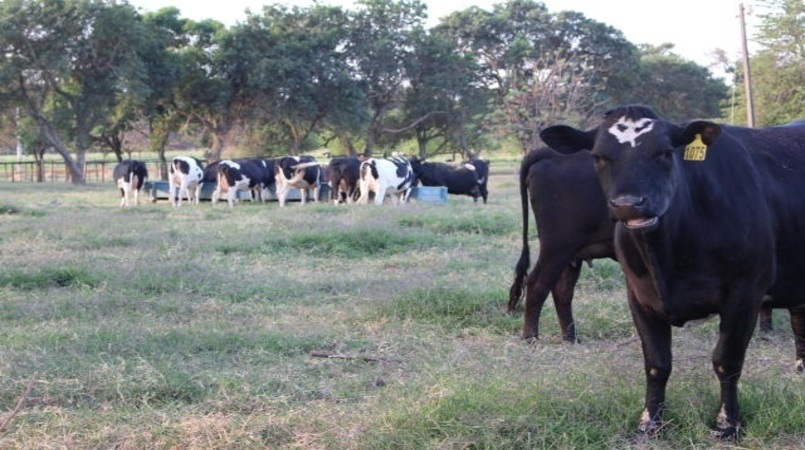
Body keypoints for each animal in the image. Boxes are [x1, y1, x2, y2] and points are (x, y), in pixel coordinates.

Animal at [508, 148, 616, 342]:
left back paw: (571, 338)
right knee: (537, 284)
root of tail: (551, 152)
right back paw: (531, 338)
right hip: (557, 248)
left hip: (571, 254)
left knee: (562, 290)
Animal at [540, 103, 804, 438]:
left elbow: (726, 361)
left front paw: (727, 423)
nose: (628, 204)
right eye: (598, 156)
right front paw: (650, 421)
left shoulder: (746, 292)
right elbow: (657, 363)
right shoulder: (639, 296)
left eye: (665, 153)